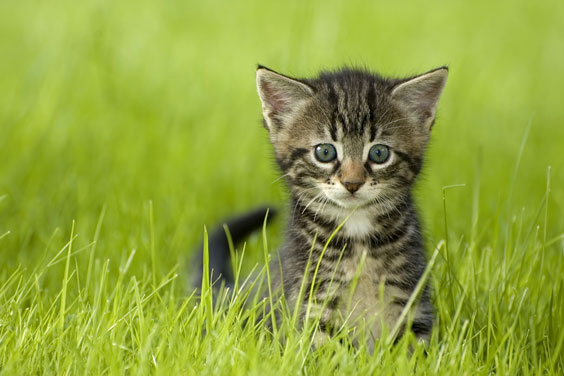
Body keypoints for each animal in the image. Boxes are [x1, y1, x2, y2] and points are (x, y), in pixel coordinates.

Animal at [196, 64, 448, 350]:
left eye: (379, 153)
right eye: (325, 152)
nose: (352, 183)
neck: (357, 233)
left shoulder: (411, 301)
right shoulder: (311, 304)